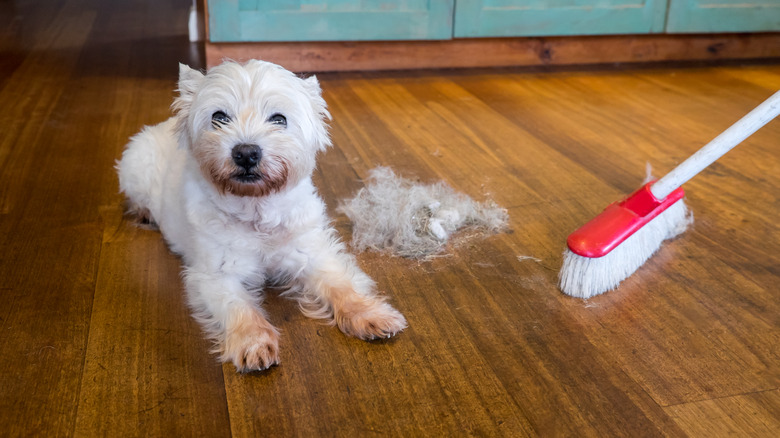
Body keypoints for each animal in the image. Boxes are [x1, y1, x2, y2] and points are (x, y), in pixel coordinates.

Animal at [118, 60, 408, 372]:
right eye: (219, 117)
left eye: (279, 119)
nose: (246, 153)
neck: (257, 210)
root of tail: (159, 126)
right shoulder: (215, 275)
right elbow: (240, 308)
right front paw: (253, 343)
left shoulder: (312, 254)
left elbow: (341, 285)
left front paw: (371, 314)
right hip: (133, 168)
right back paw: (145, 213)